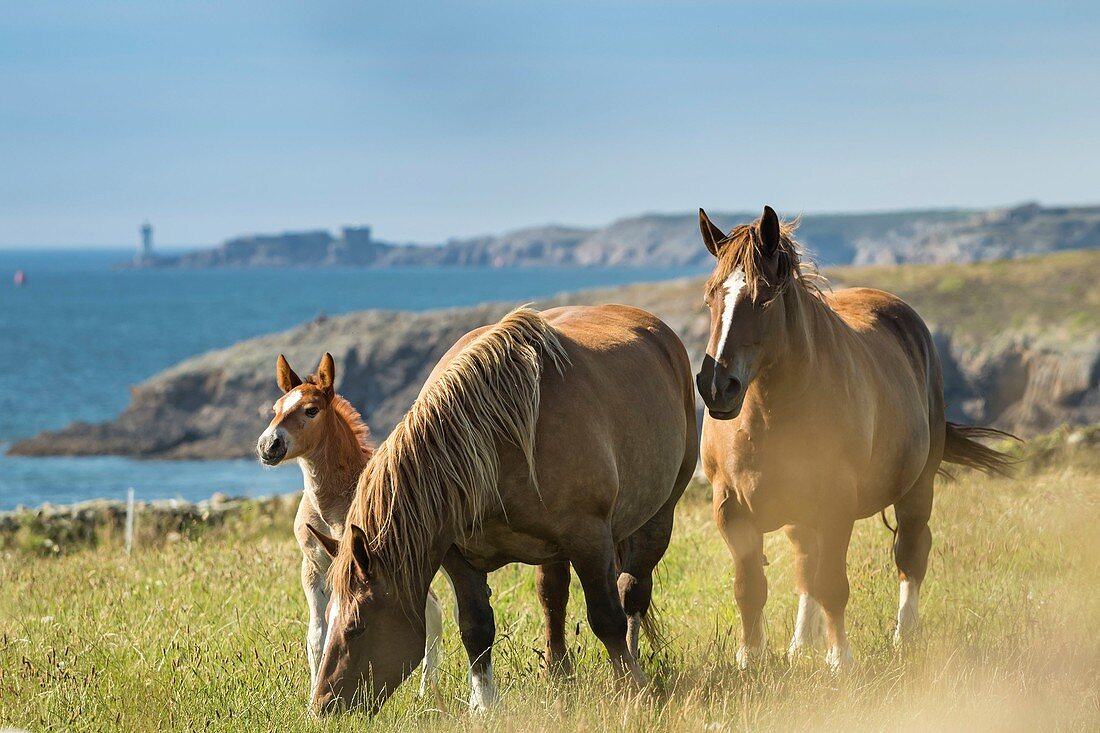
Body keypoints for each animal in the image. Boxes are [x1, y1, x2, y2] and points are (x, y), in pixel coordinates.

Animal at [308, 305, 695, 708]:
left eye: (356, 627)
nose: (323, 705)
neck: (493, 438)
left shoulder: (590, 540)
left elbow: (607, 617)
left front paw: (633, 690)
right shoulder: (456, 556)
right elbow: (475, 627)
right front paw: (484, 704)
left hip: (657, 519)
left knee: (631, 592)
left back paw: (630, 660)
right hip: (554, 550)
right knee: (553, 597)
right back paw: (557, 673)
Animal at [695, 205, 1012, 669]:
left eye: (764, 298)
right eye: (711, 297)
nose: (718, 386)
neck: (768, 417)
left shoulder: (836, 503)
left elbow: (832, 584)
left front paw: (839, 660)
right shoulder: (730, 509)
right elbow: (750, 588)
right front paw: (750, 660)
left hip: (917, 488)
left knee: (910, 554)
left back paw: (904, 637)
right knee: (805, 564)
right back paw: (799, 644)